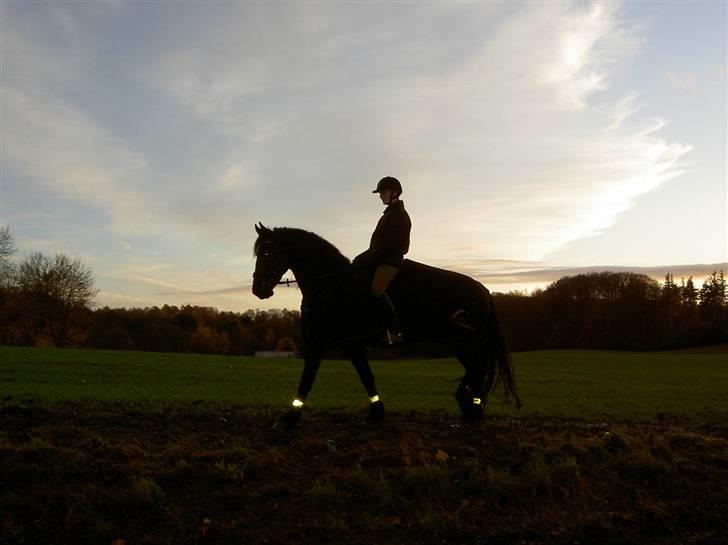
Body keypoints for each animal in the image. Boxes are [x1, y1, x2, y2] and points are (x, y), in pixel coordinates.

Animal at [253, 221, 520, 424]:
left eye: (266, 252)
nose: (258, 289)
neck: (332, 285)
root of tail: (483, 290)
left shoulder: (322, 344)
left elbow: (307, 379)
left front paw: (289, 419)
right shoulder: (348, 345)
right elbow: (366, 377)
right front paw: (376, 413)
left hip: (463, 344)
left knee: (478, 368)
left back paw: (469, 406)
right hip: (462, 345)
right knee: (478, 369)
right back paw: (471, 406)